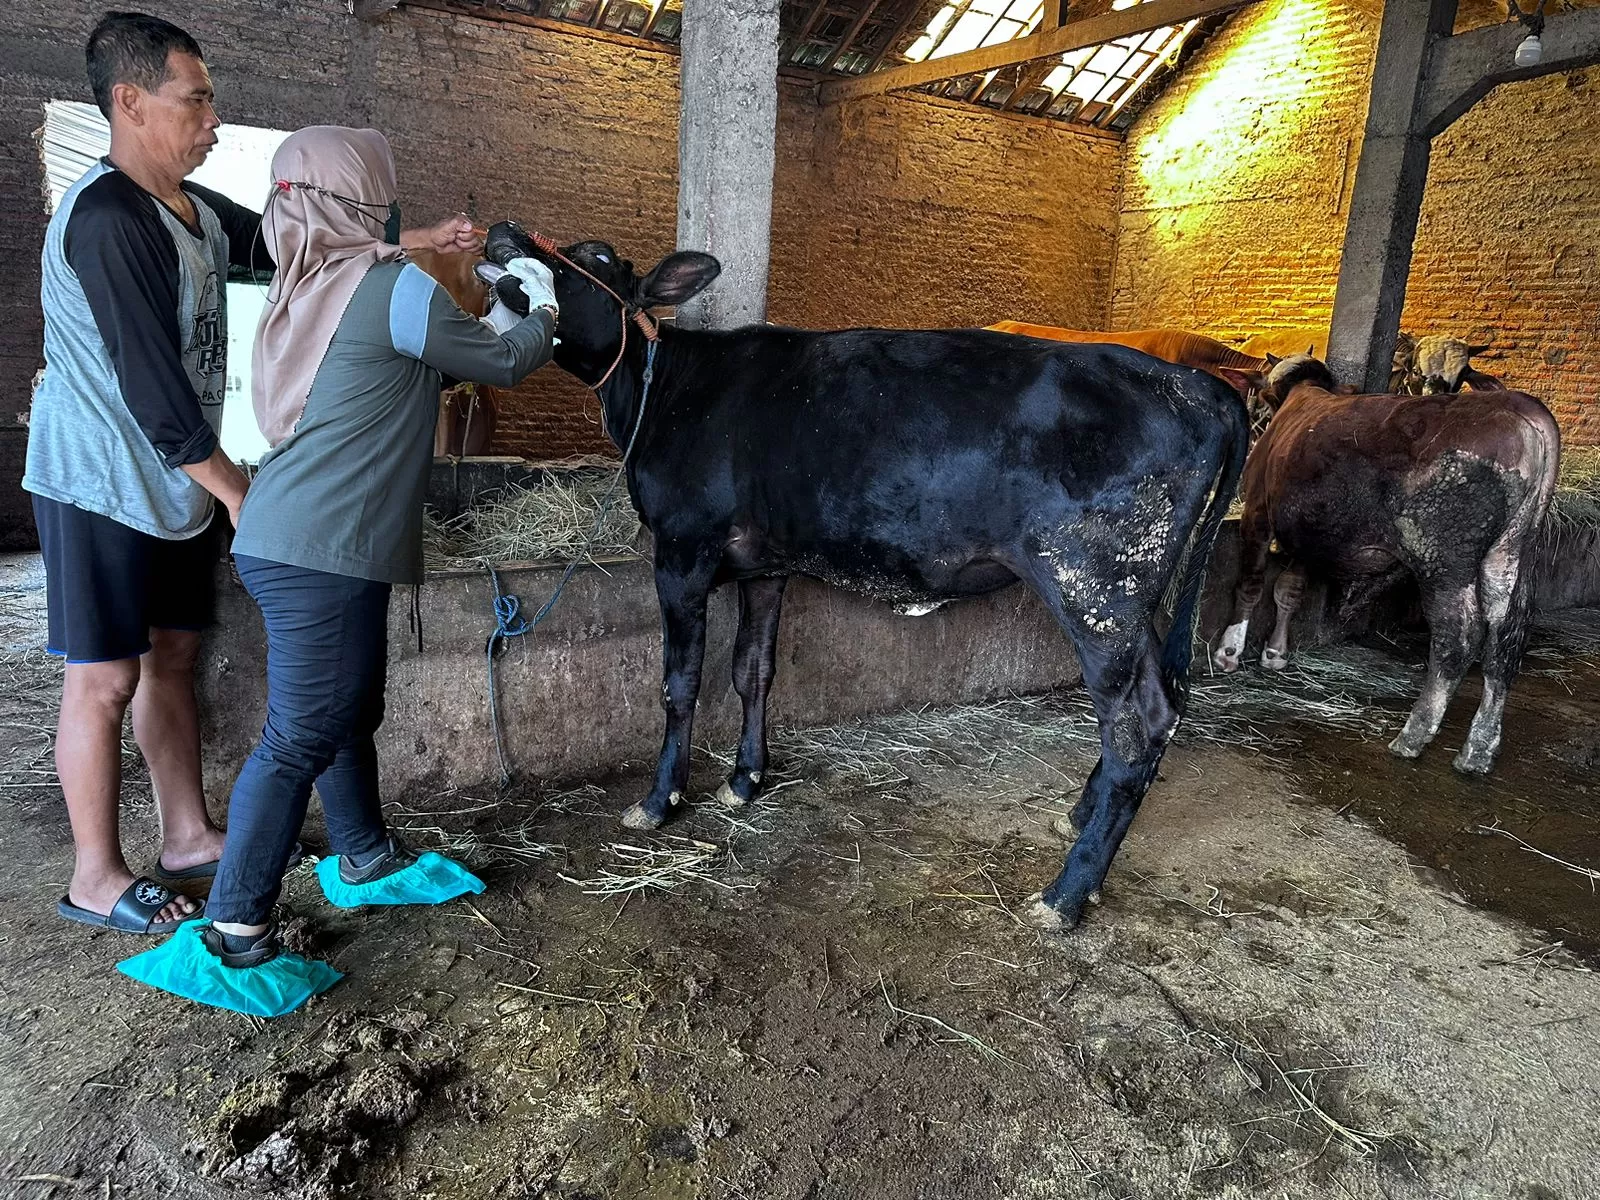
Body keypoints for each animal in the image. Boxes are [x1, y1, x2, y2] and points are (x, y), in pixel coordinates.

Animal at [483, 220, 1248, 928]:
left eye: (590, 260)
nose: (503, 232)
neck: (666, 391)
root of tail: (1197, 386)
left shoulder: (681, 549)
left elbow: (680, 683)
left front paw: (659, 799)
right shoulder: (766, 563)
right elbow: (752, 669)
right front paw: (744, 780)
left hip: (1095, 585)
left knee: (1135, 727)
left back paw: (1066, 893)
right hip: (1134, 595)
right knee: (1159, 707)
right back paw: (1080, 816)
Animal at [1216, 352, 1555, 774]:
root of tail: (1519, 405)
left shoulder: (1258, 513)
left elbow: (1251, 582)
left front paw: (1229, 652)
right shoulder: (1310, 534)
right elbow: (1289, 591)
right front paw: (1275, 653)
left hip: (1442, 557)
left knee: (1458, 637)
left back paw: (1413, 735)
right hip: (1509, 552)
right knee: (1504, 639)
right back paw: (1478, 750)